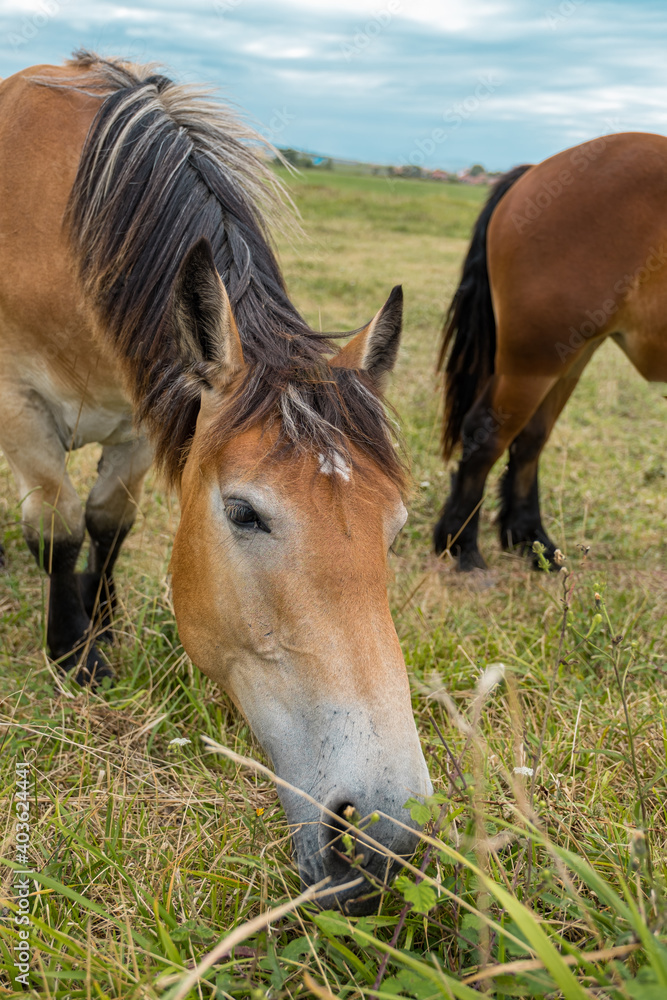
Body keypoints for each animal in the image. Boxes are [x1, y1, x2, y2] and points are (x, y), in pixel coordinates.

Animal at [0, 52, 431, 913]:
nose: (383, 836)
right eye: (243, 513)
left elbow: (107, 521)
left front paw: (101, 627)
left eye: (395, 527)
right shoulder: (19, 406)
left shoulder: (145, 411)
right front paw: (72, 658)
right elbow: (59, 527)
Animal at [433, 132, 667, 571]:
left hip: (569, 354)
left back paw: (530, 540)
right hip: (535, 360)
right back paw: (462, 546)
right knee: (487, 434)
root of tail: (536, 171)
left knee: (529, 440)